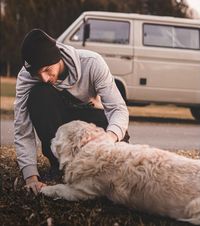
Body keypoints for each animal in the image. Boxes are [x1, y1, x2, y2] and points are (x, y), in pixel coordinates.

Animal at [41, 120, 200, 224]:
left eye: (56, 135)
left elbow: (60, 188)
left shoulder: (83, 191)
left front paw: (46, 189)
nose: (49, 140)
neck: (88, 145)